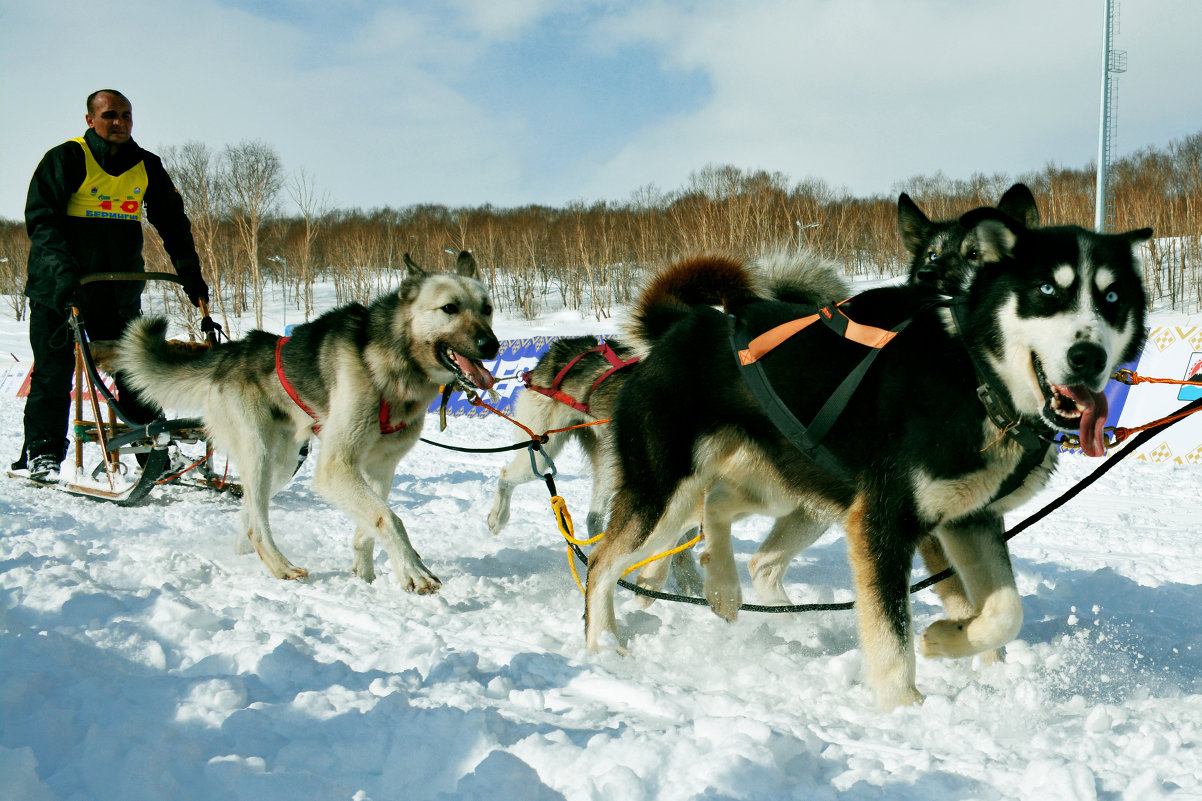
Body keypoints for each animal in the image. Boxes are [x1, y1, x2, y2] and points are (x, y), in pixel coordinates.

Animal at [114, 252, 500, 589]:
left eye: (487, 309)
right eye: (449, 308)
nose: (492, 345)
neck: (391, 364)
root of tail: (228, 354)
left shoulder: (381, 468)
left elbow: (370, 523)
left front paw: (366, 575)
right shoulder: (336, 466)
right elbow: (389, 518)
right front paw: (414, 572)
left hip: (281, 464)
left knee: (249, 513)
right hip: (259, 454)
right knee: (258, 524)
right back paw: (280, 566)